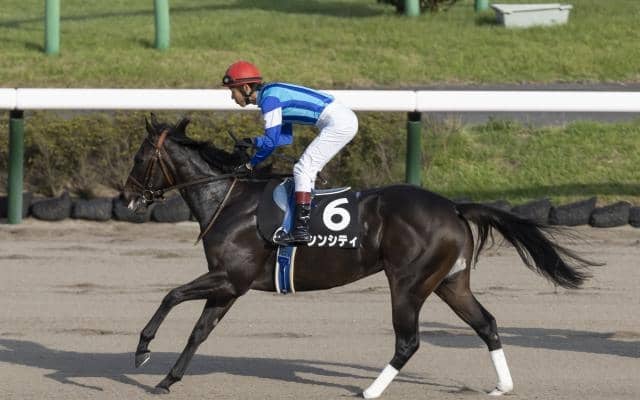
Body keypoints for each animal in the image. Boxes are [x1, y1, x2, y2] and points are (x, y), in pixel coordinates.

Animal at [123, 115, 596, 398]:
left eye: (140, 157)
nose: (127, 197)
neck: (230, 199)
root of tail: (453, 207)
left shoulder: (230, 278)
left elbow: (170, 295)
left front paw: (142, 350)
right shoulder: (229, 286)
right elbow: (198, 332)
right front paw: (167, 379)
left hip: (407, 282)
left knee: (408, 341)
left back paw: (370, 390)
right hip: (449, 282)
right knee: (487, 323)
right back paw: (503, 386)